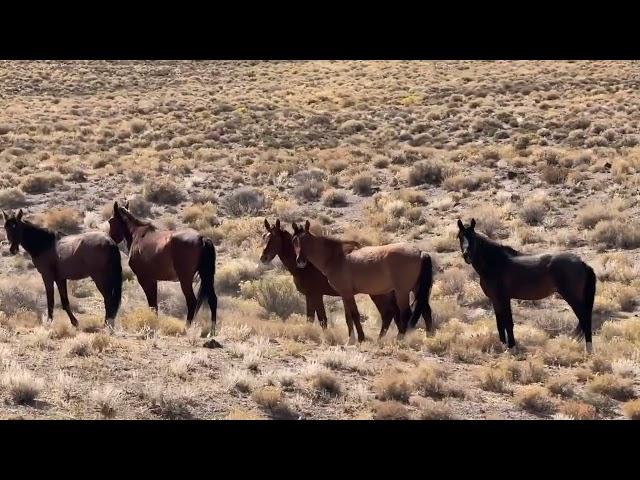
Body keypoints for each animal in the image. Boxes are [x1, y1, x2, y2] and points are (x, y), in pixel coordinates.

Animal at [107, 202, 218, 334]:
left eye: (110, 221)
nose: (110, 239)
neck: (137, 235)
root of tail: (202, 238)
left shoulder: (144, 279)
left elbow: (152, 303)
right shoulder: (153, 279)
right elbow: (154, 304)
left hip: (185, 280)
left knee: (192, 302)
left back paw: (186, 328)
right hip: (206, 276)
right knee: (212, 300)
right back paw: (212, 331)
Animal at [260, 218, 400, 338]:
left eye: (274, 238)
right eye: (264, 237)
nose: (263, 258)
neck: (308, 266)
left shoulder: (315, 295)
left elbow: (321, 319)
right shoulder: (311, 296)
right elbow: (312, 318)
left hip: (378, 294)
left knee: (388, 314)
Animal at [294, 219, 436, 344]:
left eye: (306, 240)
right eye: (294, 241)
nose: (300, 261)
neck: (336, 257)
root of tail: (420, 252)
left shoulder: (346, 293)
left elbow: (354, 315)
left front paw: (356, 339)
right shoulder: (344, 294)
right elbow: (349, 316)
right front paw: (354, 339)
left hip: (402, 292)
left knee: (406, 313)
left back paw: (399, 339)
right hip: (416, 289)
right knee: (426, 310)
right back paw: (429, 338)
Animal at [458, 219, 596, 354]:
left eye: (472, 237)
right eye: (460, 236)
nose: (466, 255)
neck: (495, 263)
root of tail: (581, 262)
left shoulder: (504, 298)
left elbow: (508, 323)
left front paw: (511, 347)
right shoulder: (495, 300)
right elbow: (500, 323)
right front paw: (503, 345)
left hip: (572, 298)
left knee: (585, 319)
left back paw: (588, 350)